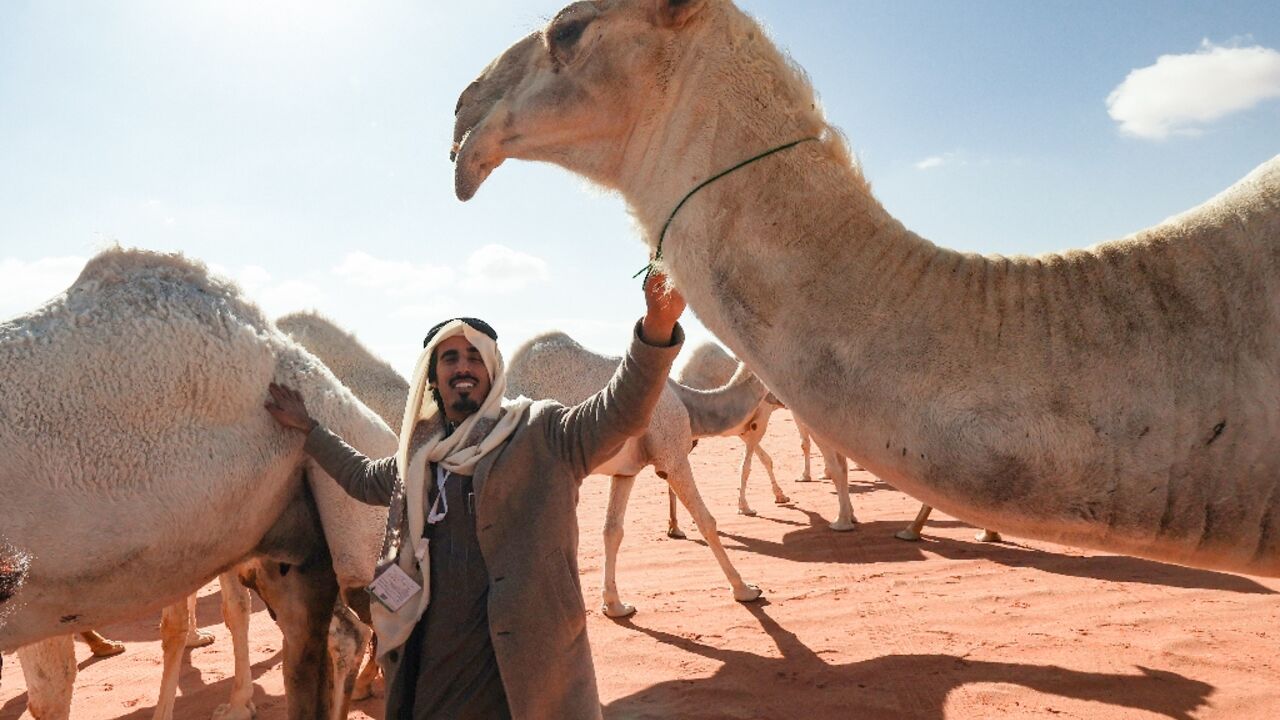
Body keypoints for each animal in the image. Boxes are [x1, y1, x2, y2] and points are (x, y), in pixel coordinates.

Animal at [504, 330, 762, 617]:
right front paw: (745, 589)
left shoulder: (626, 472)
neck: (686, 401)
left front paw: (615, 605)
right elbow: (706, 521)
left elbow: (612, 530)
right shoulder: (673, 456)